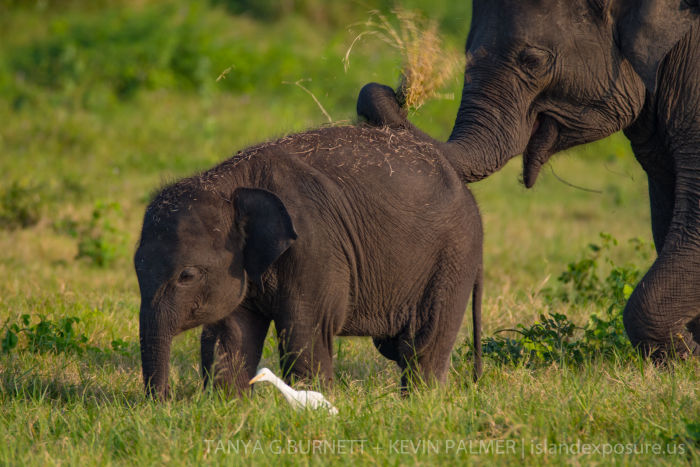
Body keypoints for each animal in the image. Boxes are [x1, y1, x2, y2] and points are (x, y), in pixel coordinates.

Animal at [134, 120, 484, 398]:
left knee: (425, 342)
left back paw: (420, 403)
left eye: (187, 275)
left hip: (454, 255)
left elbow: (305, 329)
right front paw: (228, 404)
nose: (164, 402)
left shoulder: (316, 245)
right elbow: (231, 334)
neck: (230, 185)